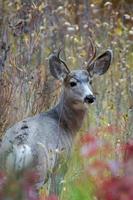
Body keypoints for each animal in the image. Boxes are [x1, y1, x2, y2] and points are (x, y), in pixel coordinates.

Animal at [0, 45, 112, 194]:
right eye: (72, 83)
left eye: (90, 81)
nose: (90, 97)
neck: (66, 125)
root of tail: (20, 147)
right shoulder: (61, 164)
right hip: (38, 173)